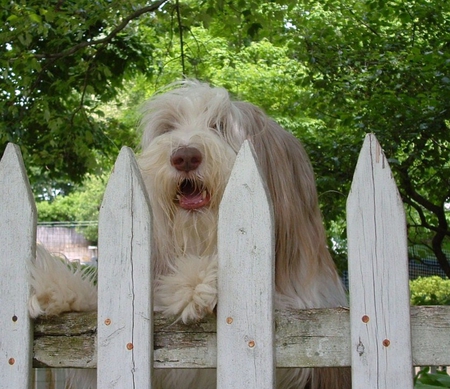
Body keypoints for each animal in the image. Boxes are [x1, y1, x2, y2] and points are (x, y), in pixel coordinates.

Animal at [29, 80, 352, 386]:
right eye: (168, 127)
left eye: (221, 126)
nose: (184, 156)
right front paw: (53, 287)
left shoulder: (308, 335)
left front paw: (195, 285)